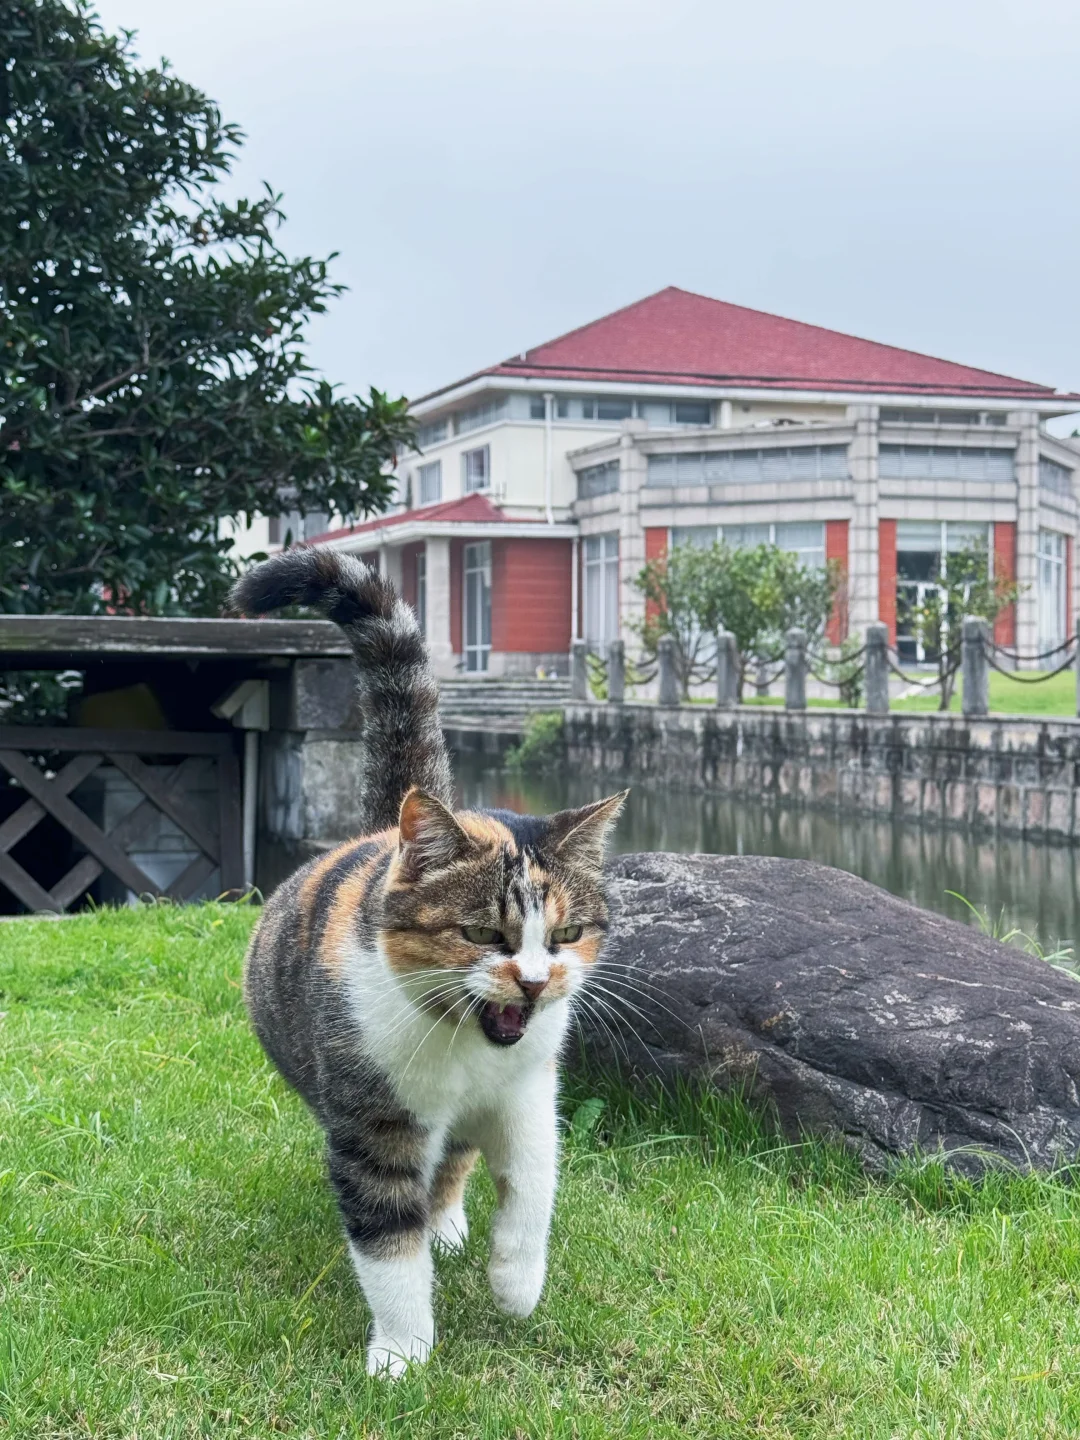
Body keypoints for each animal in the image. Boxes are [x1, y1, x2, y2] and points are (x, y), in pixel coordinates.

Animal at [224, 544, 624, 1376]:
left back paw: (448, 1220)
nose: (533, 981)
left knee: (454, 1162)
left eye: (566, 935)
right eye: (482, 936)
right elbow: (386, 1237)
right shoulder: (371, 1116)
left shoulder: (530, 1088)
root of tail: (380, 833)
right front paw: (404, 1354)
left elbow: (534, 1182)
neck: (464, 1047)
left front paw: (515, 1286)